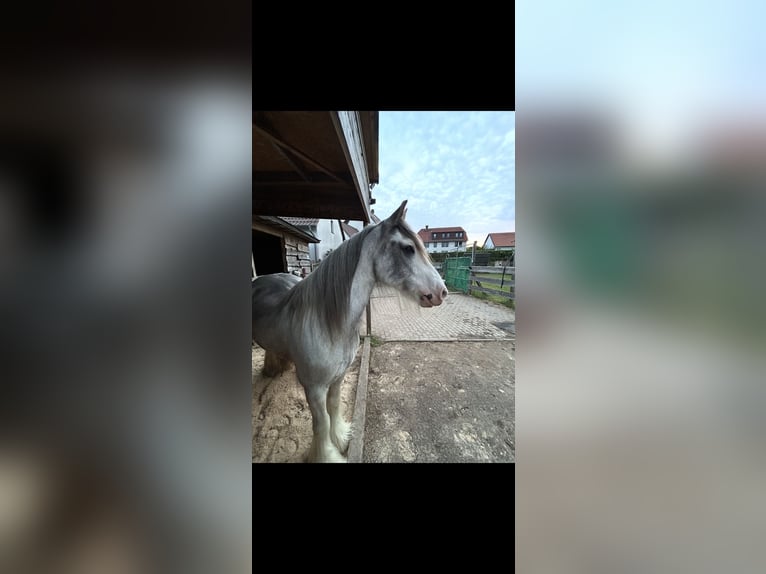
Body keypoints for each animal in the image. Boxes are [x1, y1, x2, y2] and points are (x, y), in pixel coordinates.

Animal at [252, 200, 448, 462]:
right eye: (408, 248)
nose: (442, 292)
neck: (328, 324)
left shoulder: (338, 377)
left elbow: (334, 407)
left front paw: (341, 438)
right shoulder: (314, 389)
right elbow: (321, 423)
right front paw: (327, 455)